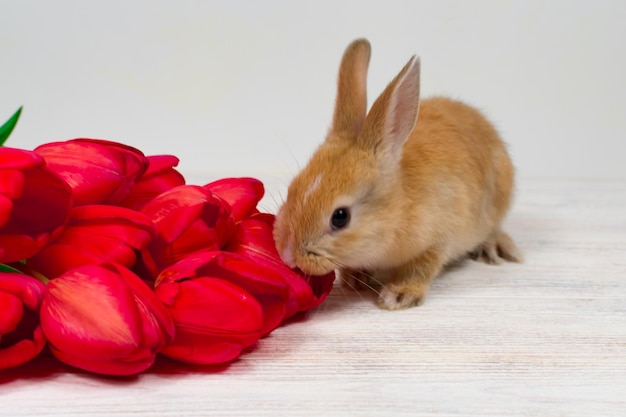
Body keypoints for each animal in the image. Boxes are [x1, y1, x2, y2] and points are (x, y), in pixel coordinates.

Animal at [272, 38, 520, 308]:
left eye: (340, 217)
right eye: (292, 188)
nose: (287, 254)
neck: (397, 208)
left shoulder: (438, 240)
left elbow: (421, 268)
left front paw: (398, 296)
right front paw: (354, 279)